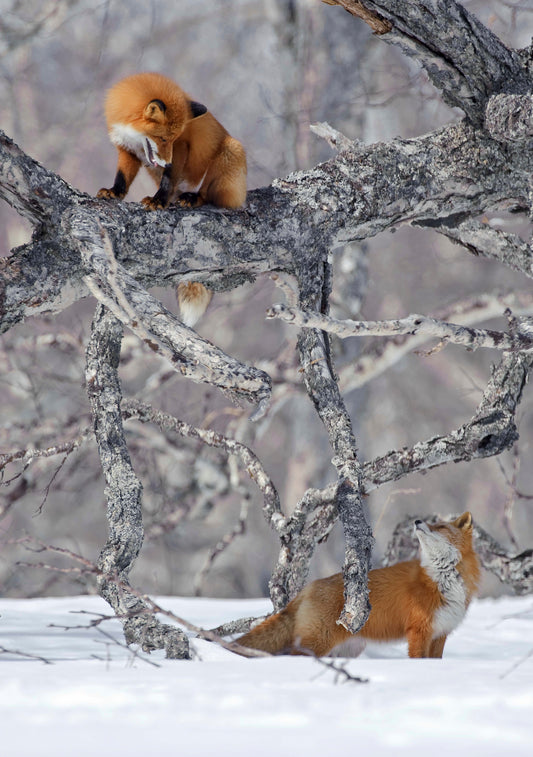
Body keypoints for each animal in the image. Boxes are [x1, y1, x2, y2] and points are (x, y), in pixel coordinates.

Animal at [97, 71, 247, 328]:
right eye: (162, 138)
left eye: (173, 138)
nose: (165, 163)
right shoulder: (126, 150)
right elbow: (122, 178)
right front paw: (114, 192)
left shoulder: (183, 147)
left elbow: (168, 181)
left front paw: (159, 201)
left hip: (230, 150)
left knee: (209, 195)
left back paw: (193, 198)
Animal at [239, 510, 480, 660]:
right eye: (434, 523)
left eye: (440, 526)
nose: (417, 522)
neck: (442, 582)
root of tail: (308, 587)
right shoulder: (419, 631)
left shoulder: (440, 633)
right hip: (316, 644)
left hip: (345, 650)